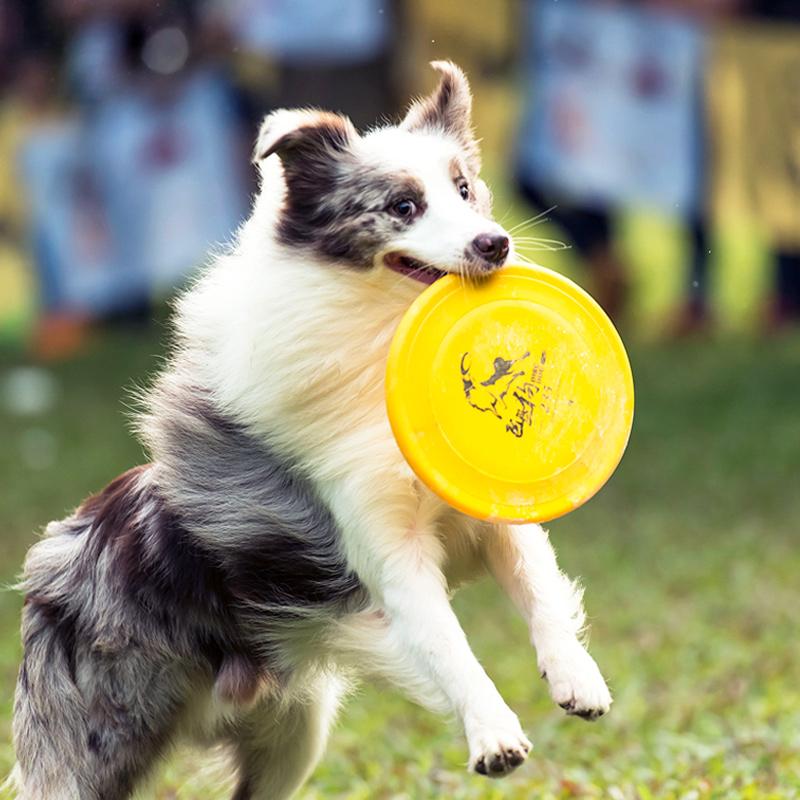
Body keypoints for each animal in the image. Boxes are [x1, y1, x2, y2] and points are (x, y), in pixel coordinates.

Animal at [10, 62, 612, 800]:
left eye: (465, 188)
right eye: (403, 206)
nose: (494, 244)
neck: (381, 335)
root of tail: (57, 552)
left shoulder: (488, 508)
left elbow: (539, 586)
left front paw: (577, 678)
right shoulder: (385, 550)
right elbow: (448, 644)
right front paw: (493, 734)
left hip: (293, 732)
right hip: (93, 744)